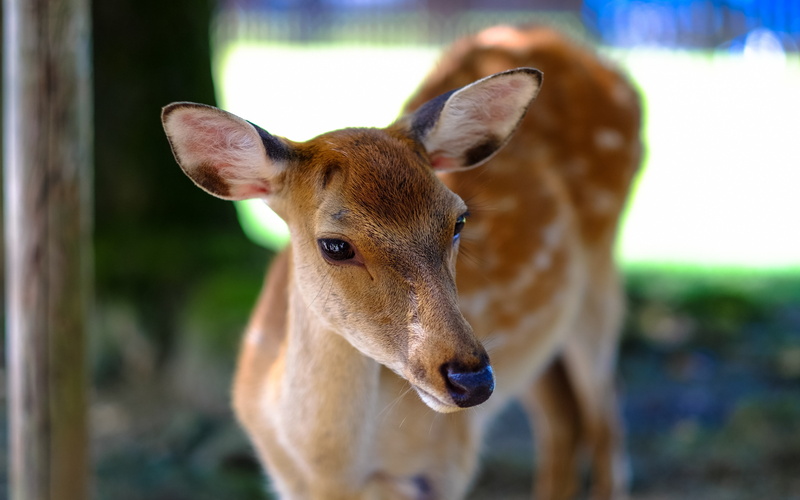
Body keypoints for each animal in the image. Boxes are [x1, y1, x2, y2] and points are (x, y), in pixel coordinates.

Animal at [161, 25, 641, 500]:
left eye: (458, 219)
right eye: (335, 245)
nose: (472, 380)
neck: (330, 474)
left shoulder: (445, 464)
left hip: (601, 275)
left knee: (607, 421)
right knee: (564, 419)